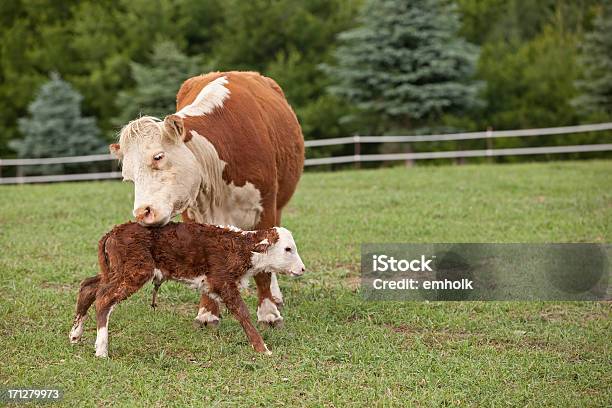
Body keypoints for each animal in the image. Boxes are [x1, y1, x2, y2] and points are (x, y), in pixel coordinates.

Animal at [69, 220, 306, 356]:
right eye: (288, 249)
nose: (302, 269)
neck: (242, 248)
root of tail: (112, 233)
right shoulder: (222, 281)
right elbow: (242, 313)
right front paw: (262, 349)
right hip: (135, 271)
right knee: (104, 298)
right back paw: (101, 349)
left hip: (115, 270)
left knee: (89, 286)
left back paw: (75, 335)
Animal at [109, 71, 304, 328]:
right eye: (128, 176)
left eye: (158, 157)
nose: (143, 212)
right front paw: (208, 312)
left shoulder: (265, 208)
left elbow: (265, 266)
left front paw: (268, 312)